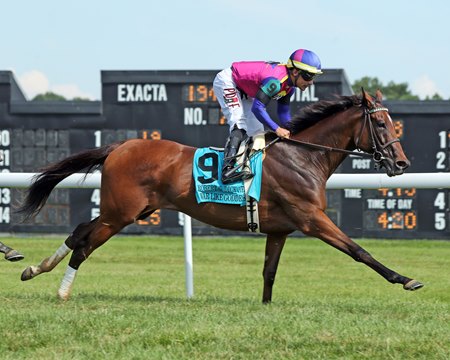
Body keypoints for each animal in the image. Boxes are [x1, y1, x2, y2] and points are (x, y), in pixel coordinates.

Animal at [18, 90, 422, 300]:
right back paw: (62, 292)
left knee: (78, 233)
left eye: (393, 122)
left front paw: (266, 307)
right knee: (85, 244)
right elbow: (359, 251)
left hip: (127, 210)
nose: (402, 162)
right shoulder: (312, 219)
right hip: (121, 213)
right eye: (381, 122)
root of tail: (121, 145)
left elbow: (269, 271)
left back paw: (34, 269)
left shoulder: (280, 229)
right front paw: (406, 279)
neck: (303, 155)